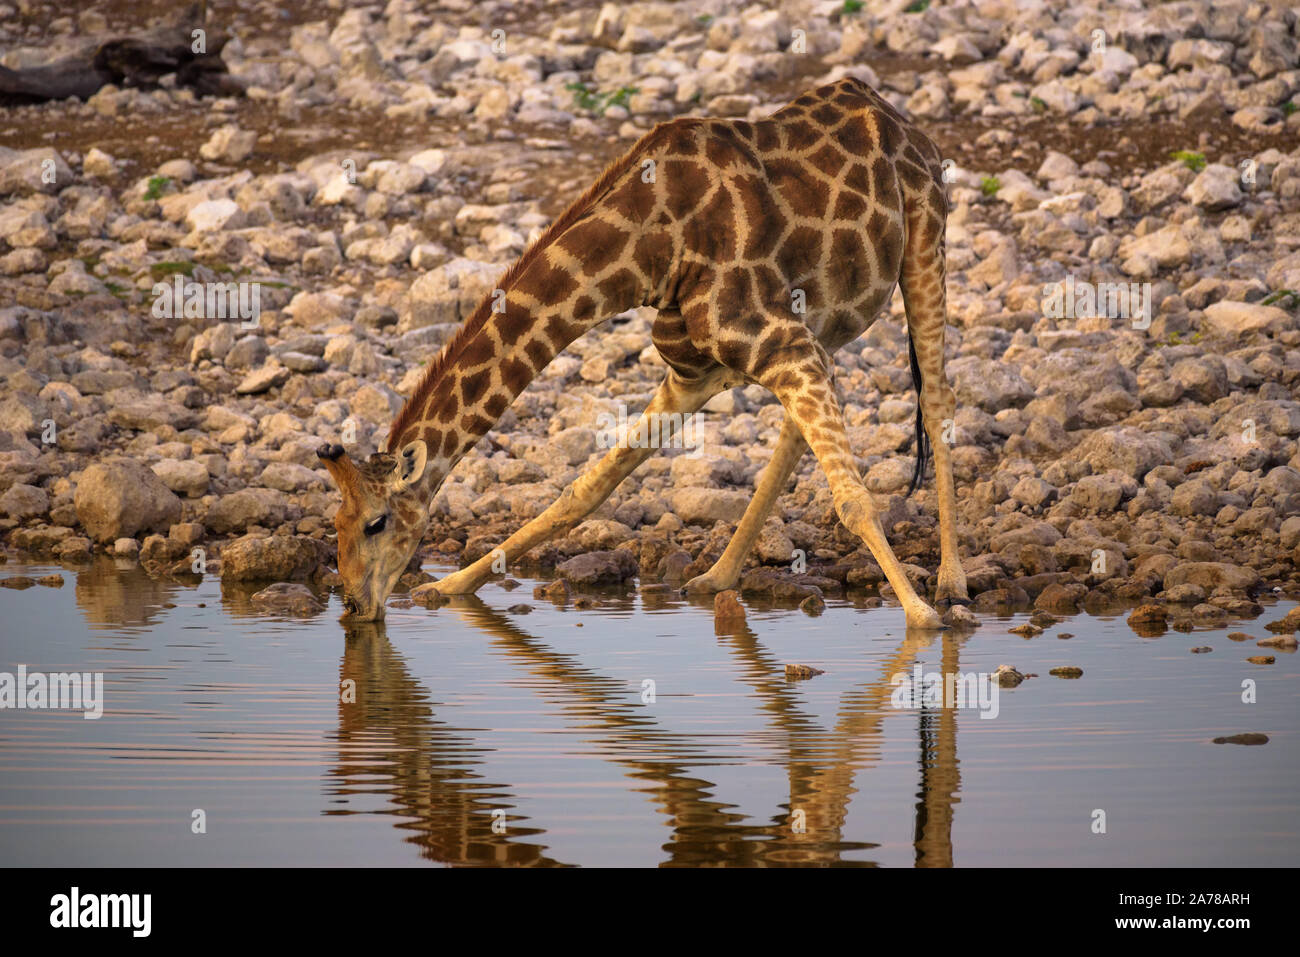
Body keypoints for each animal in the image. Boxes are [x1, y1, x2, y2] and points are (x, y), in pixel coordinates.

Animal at [314, 76, 967, 629]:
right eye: (335, 523)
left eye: (375, 523)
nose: (354, 606)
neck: (650, 250)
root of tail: (897, 116)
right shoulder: (699, 371)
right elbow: (583, 490)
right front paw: (450, 587)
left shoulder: (779, 344)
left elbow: (854, 500)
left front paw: (921, 620)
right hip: (822, 323)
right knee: (798, 430)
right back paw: (715, 577)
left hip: (924, 242)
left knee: (936, 399)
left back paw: (951, 587)